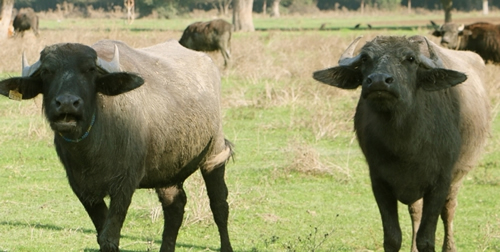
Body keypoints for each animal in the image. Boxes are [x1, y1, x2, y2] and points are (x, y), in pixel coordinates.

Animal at [0, 39, 234, 252]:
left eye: (90, 70)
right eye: (47, 71)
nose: (67, 103)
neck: (91, 150)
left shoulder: (125, 183)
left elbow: (109, 237)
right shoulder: (82, 189)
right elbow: (101, 233)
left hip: (214, 154)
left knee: (219, 205)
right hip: (167, 170)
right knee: (174, 207)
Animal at [314, 36, 490, 252]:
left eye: (410, 59)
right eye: (364, 58)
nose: (379, 80)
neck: (405, 146)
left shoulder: (440, 182)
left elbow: (426, 238)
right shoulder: (380, 183)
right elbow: (392, 238)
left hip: (458, 176)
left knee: (449, 210)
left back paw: (449, 246)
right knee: (416, 211)